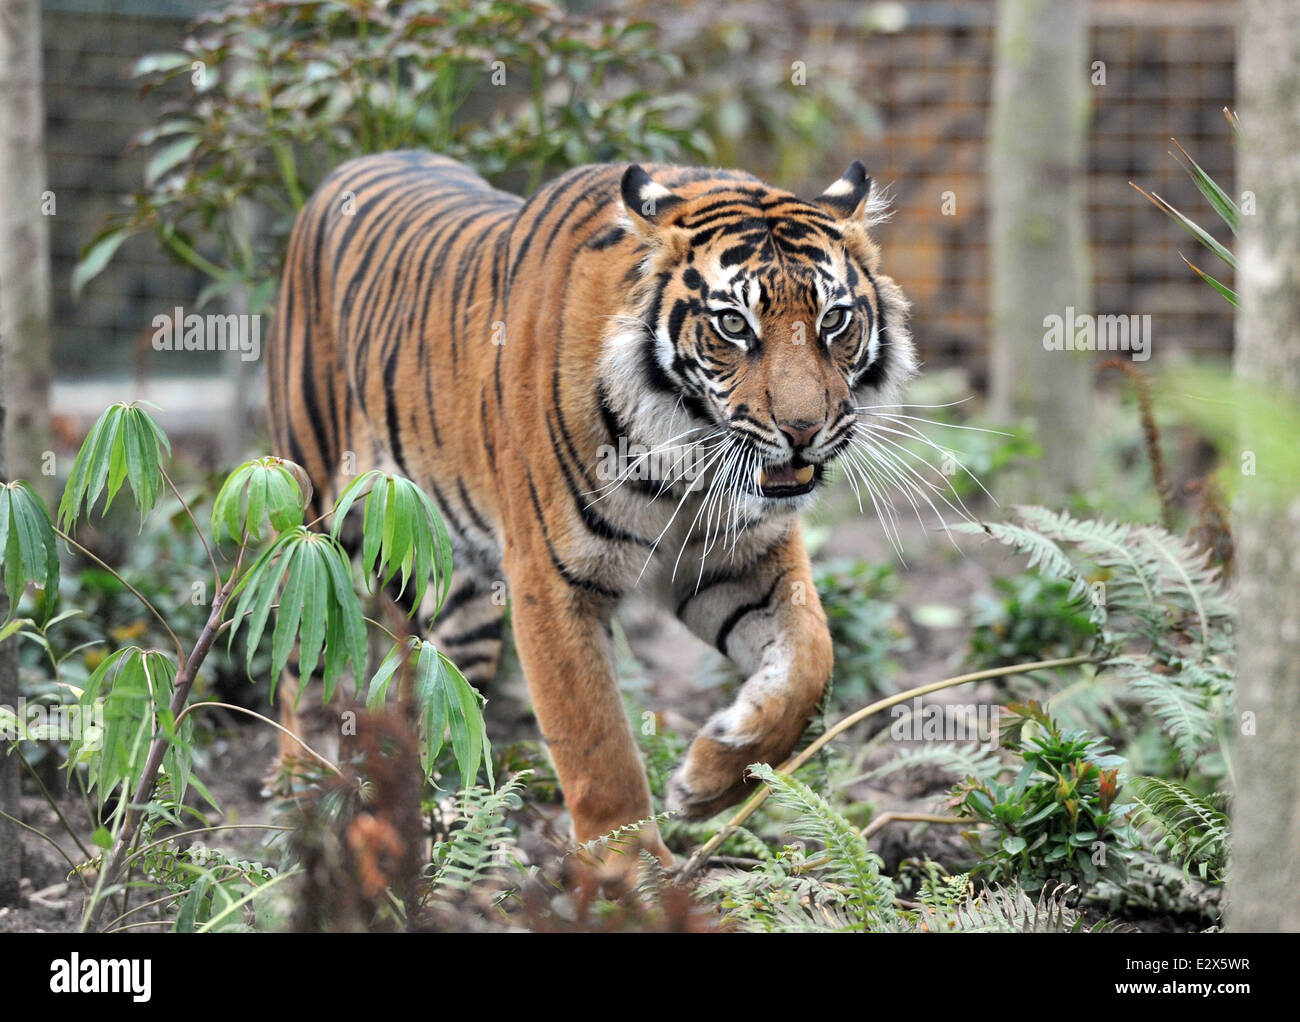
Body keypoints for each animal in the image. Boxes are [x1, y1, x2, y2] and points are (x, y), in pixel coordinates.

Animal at [267, 150, 915, 866]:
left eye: (834, 320)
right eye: (733, 325)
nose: (804, 430)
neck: (684, 457)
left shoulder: (738, 561)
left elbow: (811, 662)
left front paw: (710, 779)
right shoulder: (551, 583)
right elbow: (596, 744)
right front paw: (633, 874)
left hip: (458, 588)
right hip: (321, 526)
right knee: (301, 663)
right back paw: (301, 800)